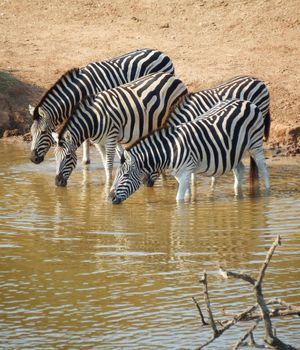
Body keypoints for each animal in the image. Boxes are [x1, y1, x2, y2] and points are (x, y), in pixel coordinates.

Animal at [28, 46, 176, 165]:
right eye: (31, 132)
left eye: (43, 132)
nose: (32, 159)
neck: (80, 91)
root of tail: (160, 52)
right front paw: (86, 161)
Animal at [51, 71, 188, 186]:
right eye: (55, 156)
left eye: (68, 156)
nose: (57, 182)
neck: (94, 120)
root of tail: (174, 77)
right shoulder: (98, 143)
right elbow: (105, 164)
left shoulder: (111, 138)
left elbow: (109, 165)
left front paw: (108, 185)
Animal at [110, 98, 270, 204]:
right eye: (117, 174)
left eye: (125, 175)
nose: (110, 198)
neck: (170, 150)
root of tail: (247, 102)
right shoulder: (180, 175)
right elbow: (186, 196)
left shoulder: (185, 172)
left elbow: (179, 200)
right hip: (234, 151)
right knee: (240, 169)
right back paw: (238, 194)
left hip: (255, 144)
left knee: (263, 168)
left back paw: (267, 192)